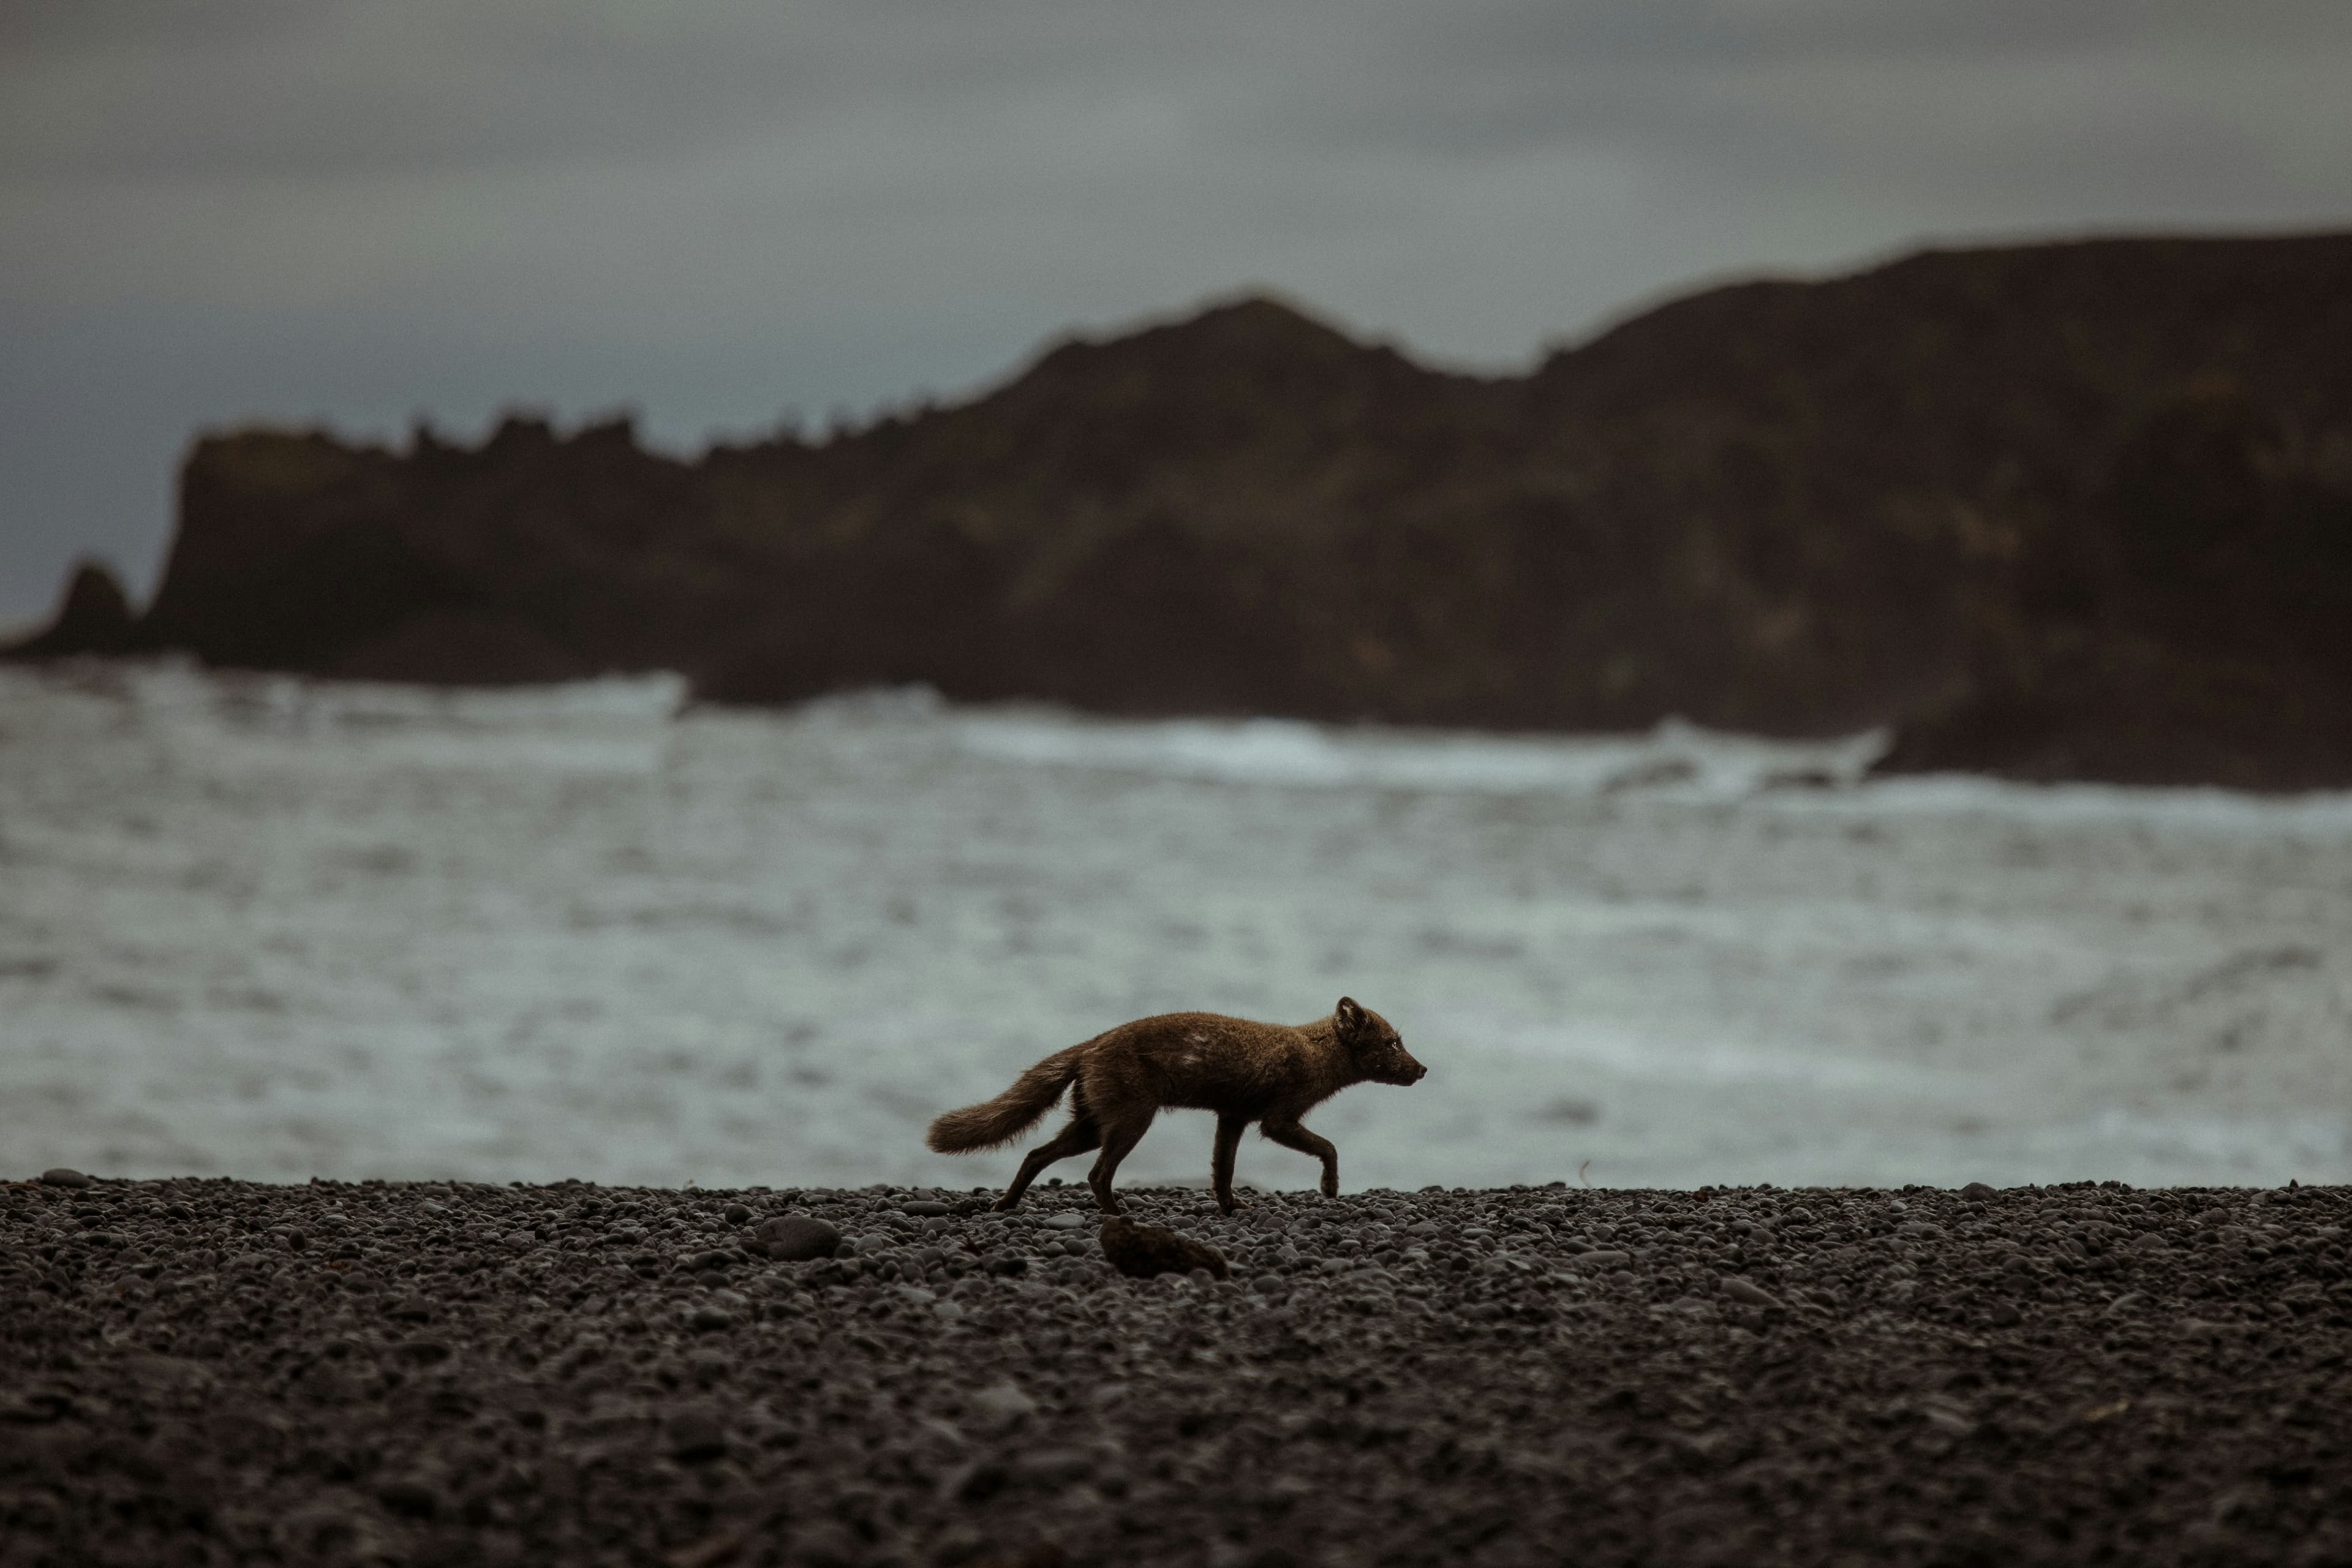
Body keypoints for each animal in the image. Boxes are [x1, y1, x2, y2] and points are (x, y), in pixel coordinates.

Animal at [925, 997, 1426, 1214]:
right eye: (1393, 1042)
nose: (1423, 1070)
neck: (1311, 1052)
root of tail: (1090, 1045)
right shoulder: (1277, 1117)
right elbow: (1328, 1146)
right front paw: (1329, 1188)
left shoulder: (1233, 1116)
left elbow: (1223, 1168)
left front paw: (1231, 1207)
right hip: (1131, 1119)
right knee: (1096, 1173)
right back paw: (1118, 1214)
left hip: (1089, 1122)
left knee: (1035, 1153)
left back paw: (1005, 1204)